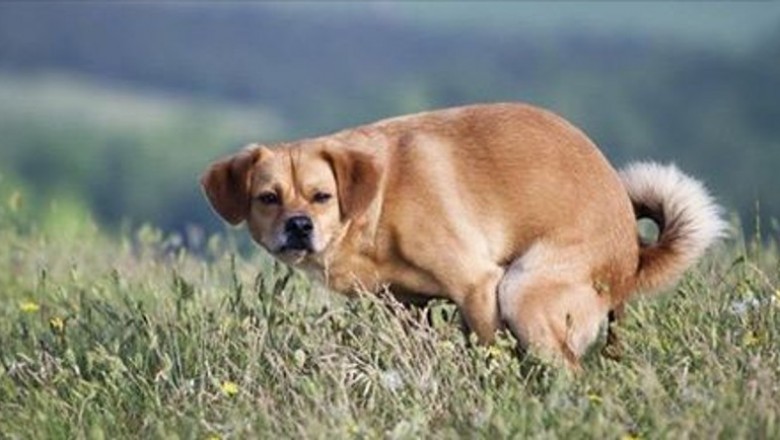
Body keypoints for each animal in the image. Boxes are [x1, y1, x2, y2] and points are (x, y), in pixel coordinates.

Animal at [201, 103, 724, 368]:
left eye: (321, 196)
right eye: (268, 198)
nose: (299, 225)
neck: (379, 201)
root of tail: (633, 259)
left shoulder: (478, 285)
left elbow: (491, 348)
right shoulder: (404, 306)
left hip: (522, 290)